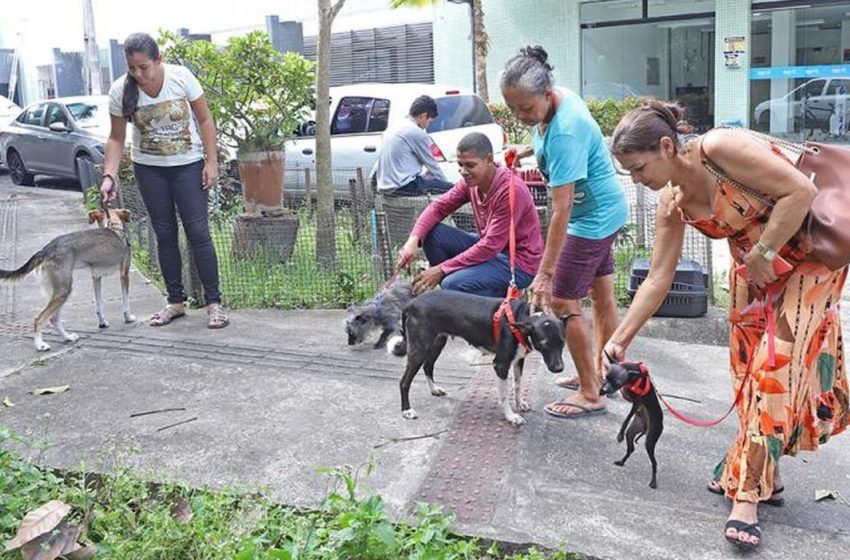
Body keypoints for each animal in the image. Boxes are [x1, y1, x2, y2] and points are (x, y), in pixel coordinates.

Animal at [0, 209, 135, 350]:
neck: (114, 227)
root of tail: (46, 250)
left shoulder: (96, 278)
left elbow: (99, 305)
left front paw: (102, 322)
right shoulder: (124, 274)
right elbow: (126, 302)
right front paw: (128, 318)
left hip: (57, 292)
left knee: (54, 319)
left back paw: (68, 337)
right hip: (64, 290)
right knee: (40, 319)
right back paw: (40, 345)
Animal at [396, 288, 564, 424]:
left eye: (562, 343)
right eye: (544, 344)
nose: (559, 369)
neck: (519, 319)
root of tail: (411, 303)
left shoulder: (518, 360)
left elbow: (517, 385)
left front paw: (520, 403)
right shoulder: (500, 364)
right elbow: (504, 395)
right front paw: (510, 416)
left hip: (438, 342)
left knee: (428, 366)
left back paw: (434, 389)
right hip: (419, 349)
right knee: (404, 381)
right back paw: (406, 410)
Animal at [596, 360, 664, 488]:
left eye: (617, 382)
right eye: (606, 377)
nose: (605, 389)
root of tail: (645, 427)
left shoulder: (636, 403)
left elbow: (627, 418)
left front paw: (620, 434)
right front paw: (600, 390)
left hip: (650, 440)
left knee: (654, 463)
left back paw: (653, 482)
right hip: (632, 432)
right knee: (631, 449)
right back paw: (621, 462)